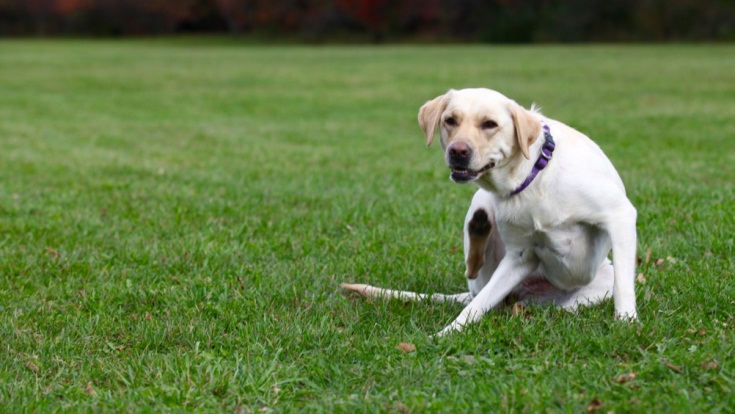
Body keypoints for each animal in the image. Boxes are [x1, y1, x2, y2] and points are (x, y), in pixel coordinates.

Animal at [344, 88, 640, 336]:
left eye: (490, 124)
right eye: (450, 120)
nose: (458, 151)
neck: (532, 177)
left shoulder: (620, 216)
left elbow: (624, 286)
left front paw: (627, 323)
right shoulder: (519, 256)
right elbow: (473, 310)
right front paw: (443, 336)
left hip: (585, 293)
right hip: (485, 240)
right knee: (476, 284)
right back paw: (480, 226)